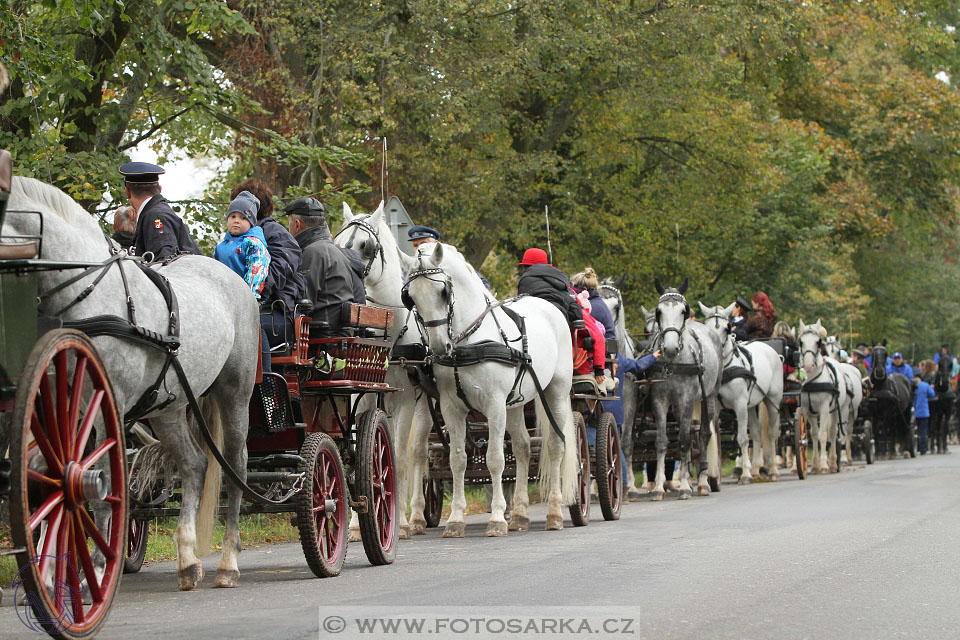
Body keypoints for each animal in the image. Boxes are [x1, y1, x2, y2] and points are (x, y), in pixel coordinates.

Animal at [5, 175, 260, 592]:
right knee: (194, 465)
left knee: (235, 467)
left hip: (234, 394)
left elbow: (101, 480)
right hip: (168, 408)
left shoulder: (107, 404)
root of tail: (233, 281)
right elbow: (46, 472)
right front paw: (52, 566)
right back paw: (187, 558)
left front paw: (94, 564)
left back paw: (227, 563)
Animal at [402, 242, 572, 532]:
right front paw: (456, 520)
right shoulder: (451, 408)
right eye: (411, 297)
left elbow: (495, 459)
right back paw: (520, 515)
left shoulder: (494, 405)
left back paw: (555, 514)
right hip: (515, 403)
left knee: (556, 447)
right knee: (523, 447)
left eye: (443, 291)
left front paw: (496, 518)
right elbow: (457, 460)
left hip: (556, 392)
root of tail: (547, 305)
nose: (438, 347)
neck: (468, 342)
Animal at [644, 280, 720, 500]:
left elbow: (685, 441)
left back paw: (702, 483)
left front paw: (685, 487)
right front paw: (658, 487)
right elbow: (662, 441)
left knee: (704, 434)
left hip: (709, 396)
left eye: (683, 311)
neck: (673, 363)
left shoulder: (686, 399)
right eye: (659, 311)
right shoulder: (659, 399)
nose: (669, 348)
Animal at [700, 302, 784, 482]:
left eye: (727, 327)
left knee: (772, 434)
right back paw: (757, 469)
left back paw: (773, 470)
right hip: (750, 405)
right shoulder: (717, 406)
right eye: (706, 327)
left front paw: (745, 474)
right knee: (757, 433)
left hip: (772, 401)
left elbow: (742, 439)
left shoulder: (739, 405)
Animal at [800, 320, 860, 476]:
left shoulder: (824, 408)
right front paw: (815, 466)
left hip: (843, 410)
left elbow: (824, 434)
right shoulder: (808, 410)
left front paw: (824, 465)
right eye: (801, 342)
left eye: (818, 342)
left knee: (838, 432)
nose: (808, 365)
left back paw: (837, 461)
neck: (813, 379)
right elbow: (814, 435)